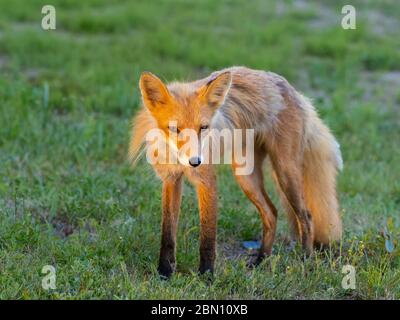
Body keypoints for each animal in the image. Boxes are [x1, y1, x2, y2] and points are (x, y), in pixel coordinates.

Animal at [130, 65, 342, 278]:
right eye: (175, 129)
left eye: (203, 128)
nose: (195, 161)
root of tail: (292, 90)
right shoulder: (171, 180)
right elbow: (167, 234)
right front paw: (164, 272)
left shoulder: (207, 180)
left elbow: (207, 238)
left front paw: (206, 276)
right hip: (246, 177)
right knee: (272, 213)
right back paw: (261, 260)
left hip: (285, 173)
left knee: (306, 217)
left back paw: (306, 260)